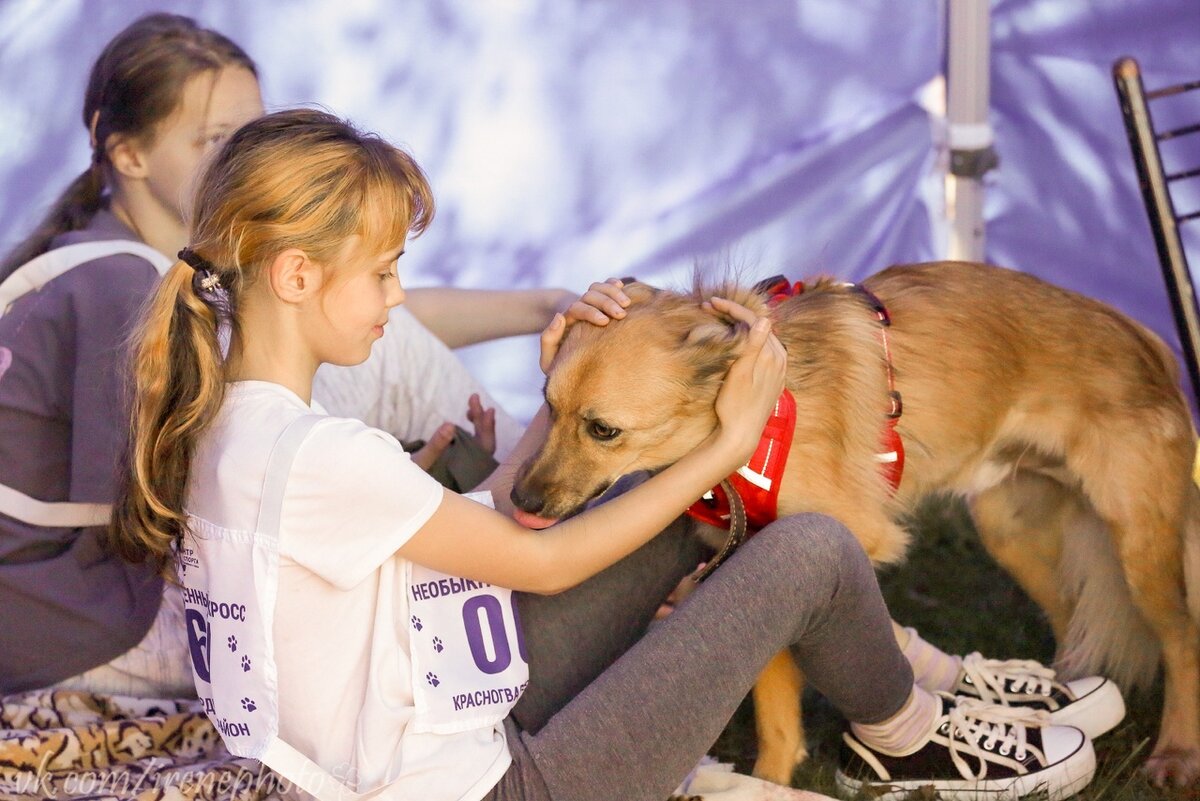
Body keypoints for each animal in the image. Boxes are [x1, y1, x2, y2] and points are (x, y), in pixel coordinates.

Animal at [511, 261, 1200, 781]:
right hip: (1010, 531)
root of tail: (1149, 343)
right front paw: (771, 781)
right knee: (1070, 614)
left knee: (1181, 637)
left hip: (1138, 546)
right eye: (547, 405)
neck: (762, 411)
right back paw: (1062, 700)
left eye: (603, 430)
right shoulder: (760, 550)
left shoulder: (843, 539)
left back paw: (1176, 754)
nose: (518, 502)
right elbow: (775, 710)